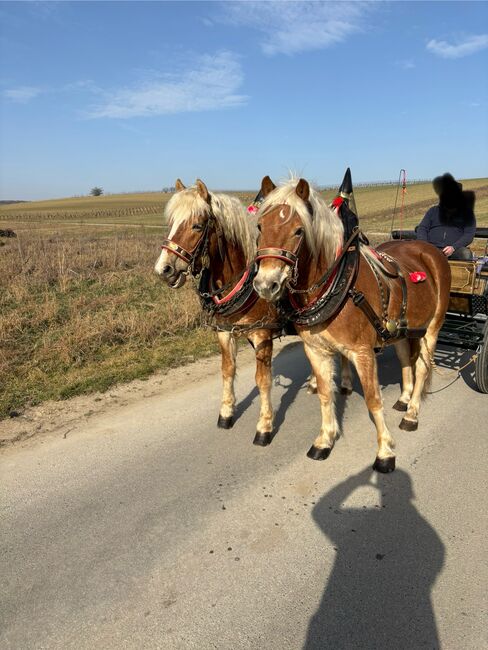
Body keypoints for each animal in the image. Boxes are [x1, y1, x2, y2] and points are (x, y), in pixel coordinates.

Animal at [155, 175, 278, 442]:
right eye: (171, 223)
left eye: (197, 226)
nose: (163, 269)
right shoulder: (224, 332)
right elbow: (227, 370)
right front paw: (226, 413)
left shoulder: (262, 334)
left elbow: (263, 379)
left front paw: (264, 426)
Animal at [254, 173, 452, 470]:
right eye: (259, 226)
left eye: (299, 231)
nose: (266, 284)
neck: (336, 285)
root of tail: (428, 249)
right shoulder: (316, 350)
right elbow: (326, 394)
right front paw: (324, 440)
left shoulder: (362, 352)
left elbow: (373, 400)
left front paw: (385, 451)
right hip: (401, 331)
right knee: (406, 360)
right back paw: (404, 399)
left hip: (432, 328)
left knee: (422, 367)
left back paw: (412, 413)